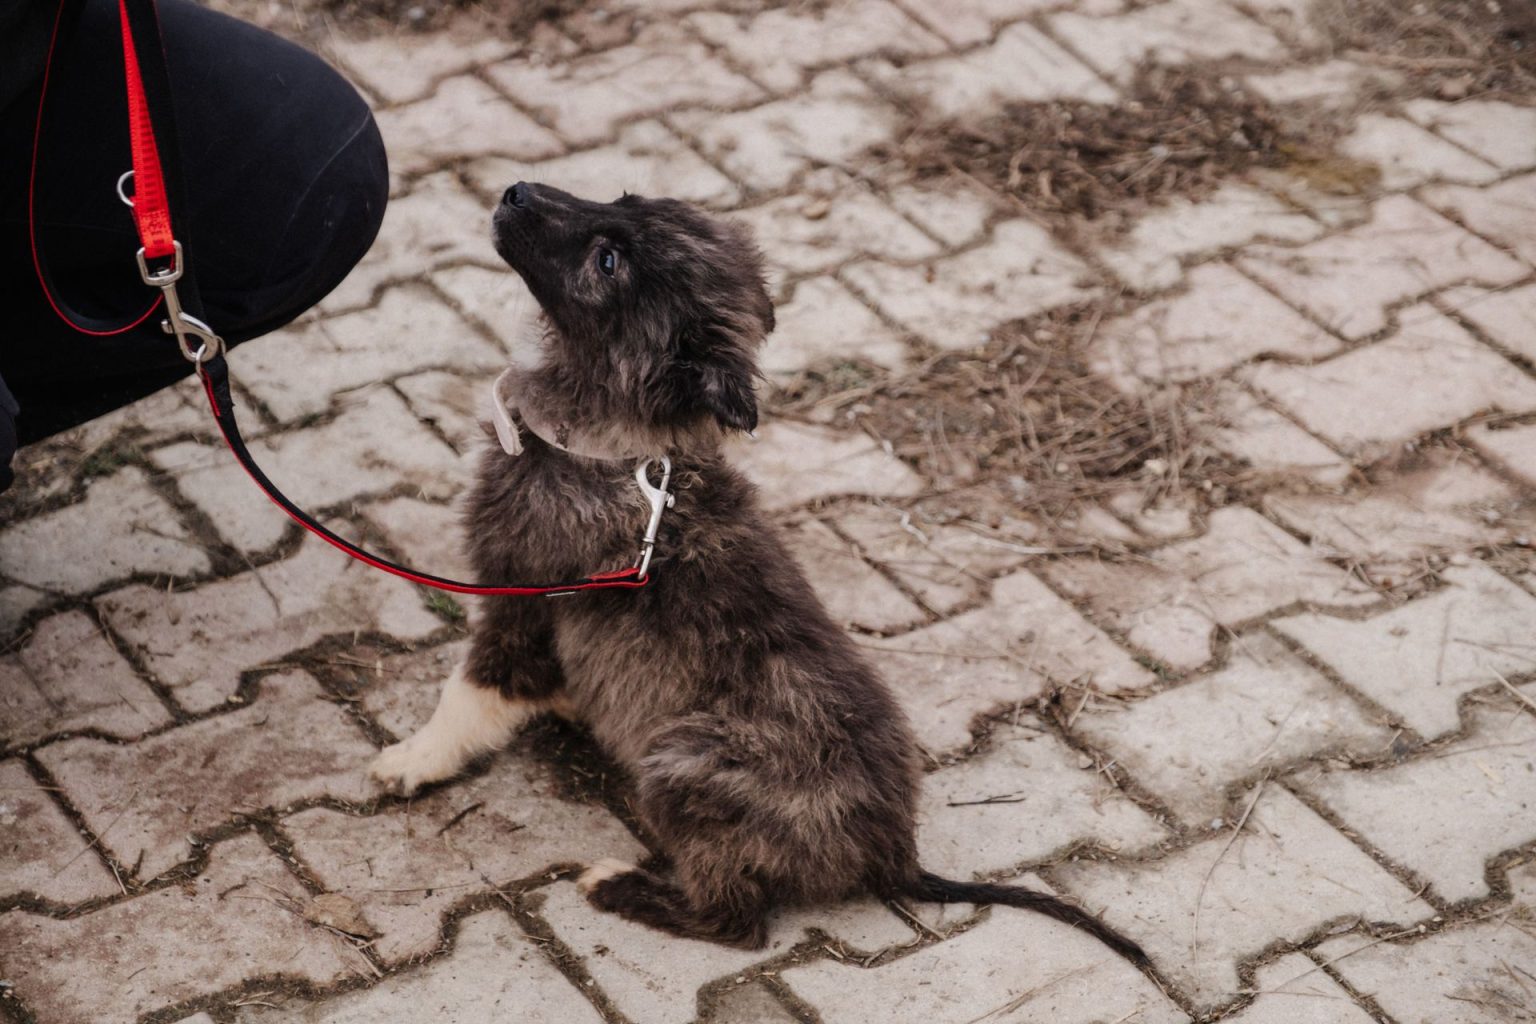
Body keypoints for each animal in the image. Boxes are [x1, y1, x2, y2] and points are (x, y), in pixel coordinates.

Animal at [369, 182, 1147, 965]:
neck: (607, 449)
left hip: (681, 762)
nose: (515, 191)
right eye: (622, 197)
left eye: (608, 261)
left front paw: (414, 758)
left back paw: (621, 887)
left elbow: (471, 692)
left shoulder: (518, 599)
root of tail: (894, 854)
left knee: (737, 922)